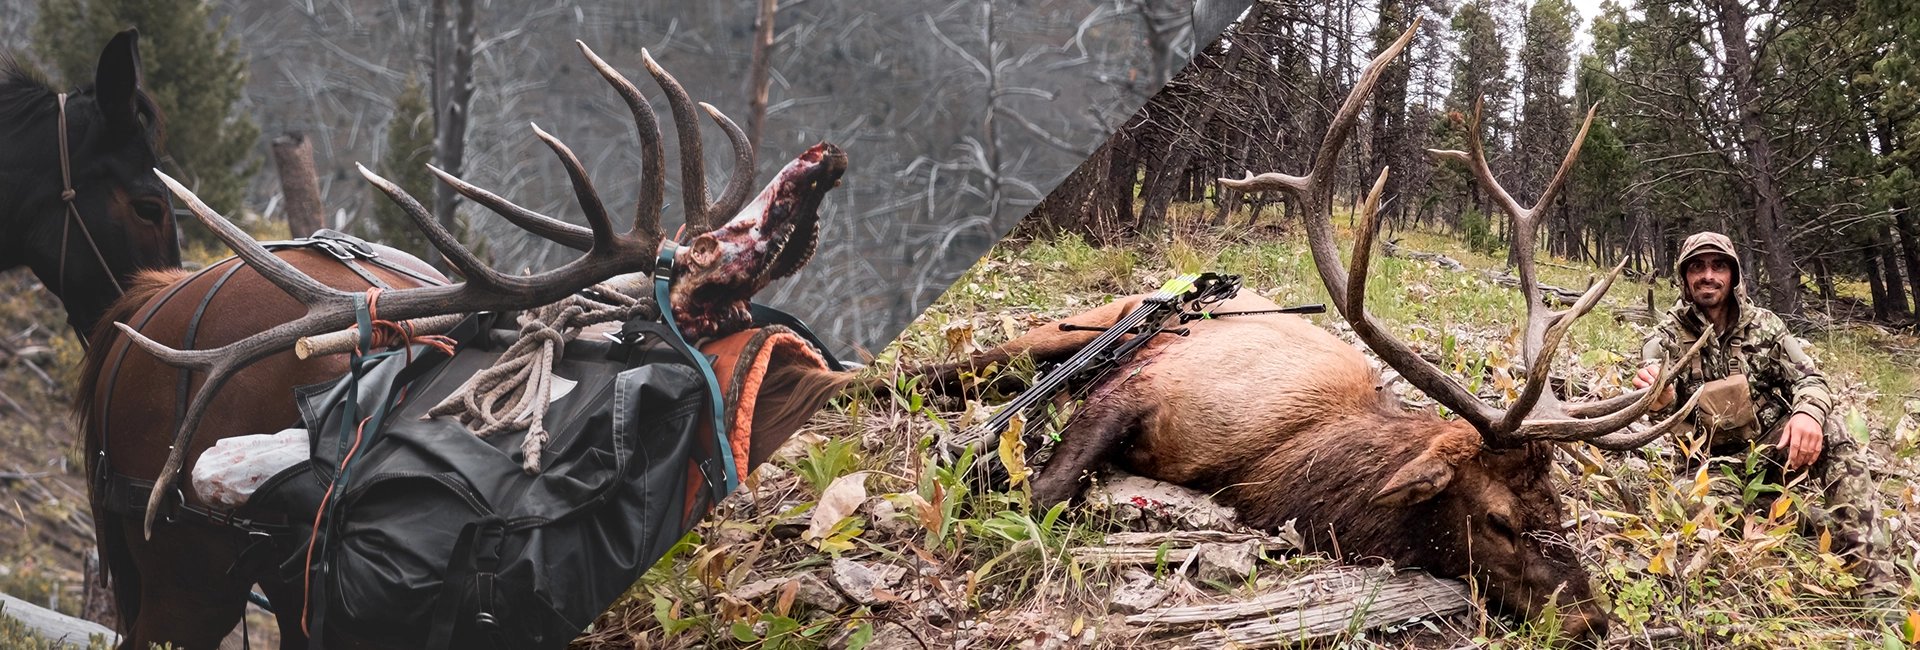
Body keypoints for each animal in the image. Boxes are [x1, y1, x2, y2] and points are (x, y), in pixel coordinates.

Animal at [912, 22, 1706, 641]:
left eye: (1561, 510)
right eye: (1500, 520)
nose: (1592, 621)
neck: (1272, 464)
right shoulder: (1141, 388)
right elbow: (1041, 494)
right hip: (1083, 324)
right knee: (952, 368)